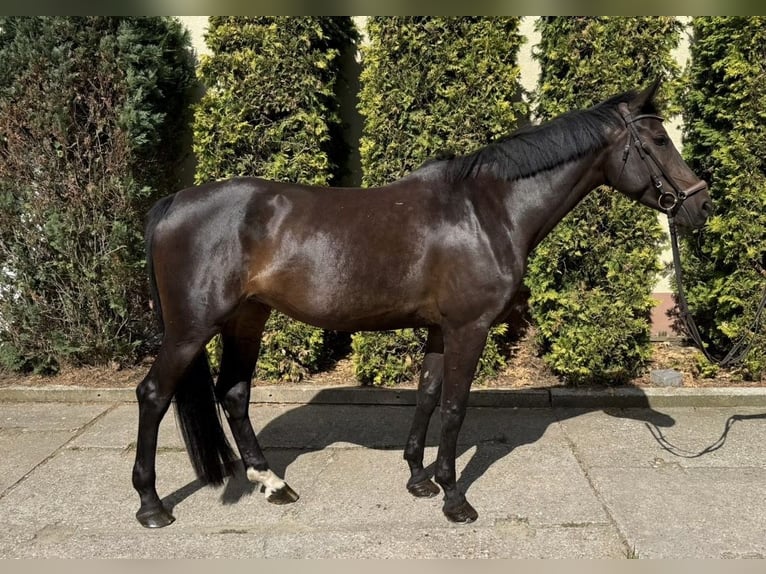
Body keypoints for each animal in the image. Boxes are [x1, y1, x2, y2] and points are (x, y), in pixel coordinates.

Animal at [132, 80, 712, 528]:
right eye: (658, 139)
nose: (700, 205)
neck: (487, 211)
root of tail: (172, 204)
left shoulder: (440, 328)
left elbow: (428, 397)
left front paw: (419, 479)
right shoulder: (469, 328)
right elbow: (455, 408)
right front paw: (455, 498)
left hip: (246, 318)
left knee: (233, 394)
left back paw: (273, 484)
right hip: (192, 328)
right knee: (154, 395)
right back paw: (152, 505)